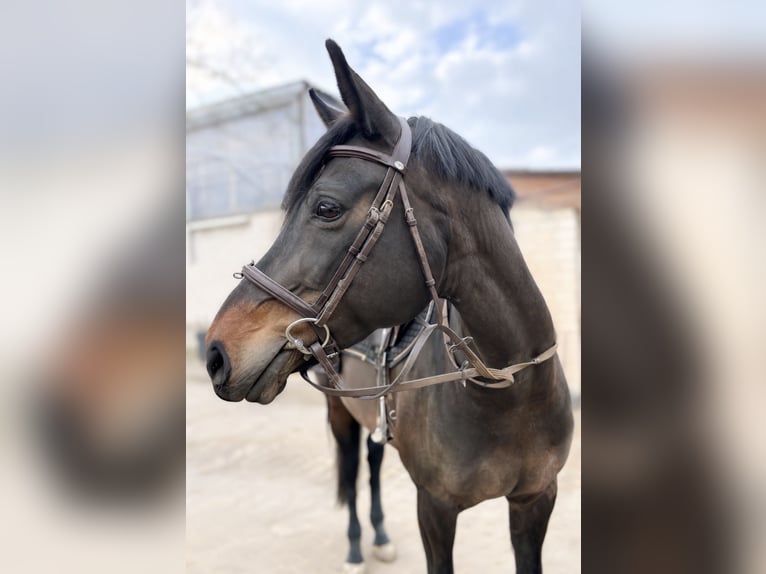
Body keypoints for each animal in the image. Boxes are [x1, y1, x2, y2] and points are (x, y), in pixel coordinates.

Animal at [205, 40, 573, 573]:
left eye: (326, 208)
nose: (216, 353)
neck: (510, 391)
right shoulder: (435, 509)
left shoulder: (536, 501)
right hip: (340, 415)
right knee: (355, 470)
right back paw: (358, 545)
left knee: (375, 463)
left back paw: (378, 536)